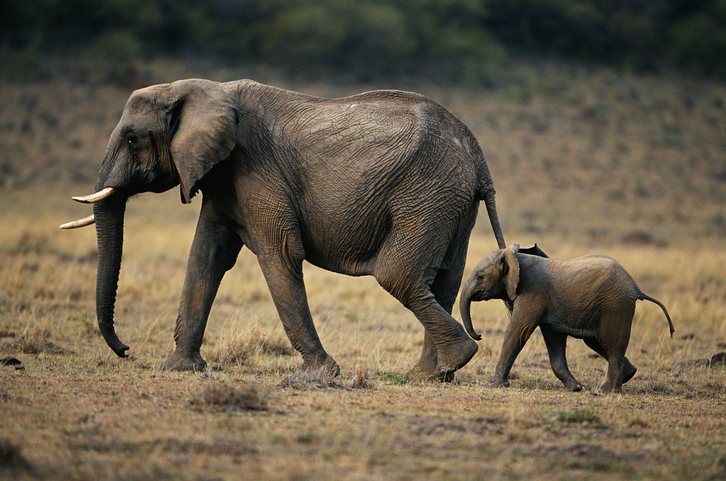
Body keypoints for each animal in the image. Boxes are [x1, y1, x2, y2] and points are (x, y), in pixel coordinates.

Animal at [61, 78, 507, 381]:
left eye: (132, 139)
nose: (125, 349)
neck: (197, 89)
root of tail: (478, 155)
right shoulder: (223, 179)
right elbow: (206, 258)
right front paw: (179, 369)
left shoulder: (254, 169)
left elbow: (279, 254)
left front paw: (319, 376)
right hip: (451, 201)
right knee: (443, 280)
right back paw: (430, 375)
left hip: (428, 192)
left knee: (398, 275)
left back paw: (455, 358)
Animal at [459, 244, 675, 393]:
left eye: (480, 276)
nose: (479, 336)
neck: (515, 257)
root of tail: (635, 287)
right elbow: (553, 340)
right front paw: (575, 388)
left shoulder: (532, 293)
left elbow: (518, 331)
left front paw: (494, 385)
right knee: (597, 341)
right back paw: (628, 375)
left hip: (615, 305)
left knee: (612, 343)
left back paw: (607, 391)